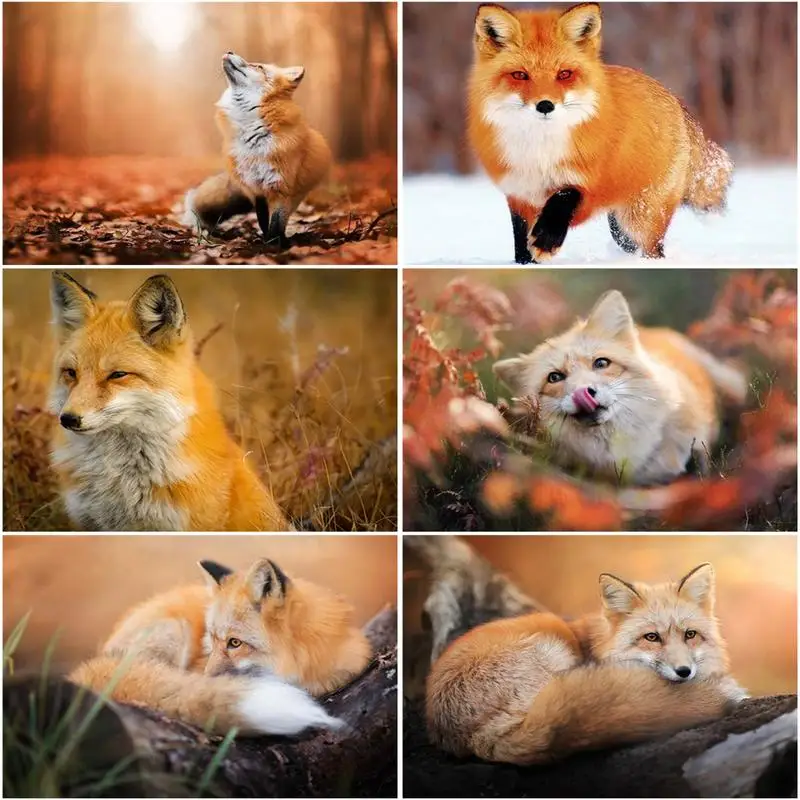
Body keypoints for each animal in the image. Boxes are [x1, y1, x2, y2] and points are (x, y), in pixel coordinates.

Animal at [183, 51, 332, 248]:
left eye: (258, 66)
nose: (229, 51)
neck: (253, 142)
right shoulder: (254, 188)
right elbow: (263, 220)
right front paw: (266, 241)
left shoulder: (280, 186)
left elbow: (276, 223)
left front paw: (275, 245)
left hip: (296, 194)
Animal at [468, 3, 733, 264]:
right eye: (520, 75)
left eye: (564, 74)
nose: (545, 105)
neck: (539, 154)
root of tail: (674, 99)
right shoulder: (519, 193)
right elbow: (521, 244)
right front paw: (527, 259)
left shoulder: (588, 184)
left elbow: (563, 197)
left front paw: (546, 241)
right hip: (621, 228)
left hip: (640, 218)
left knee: (654, 249)